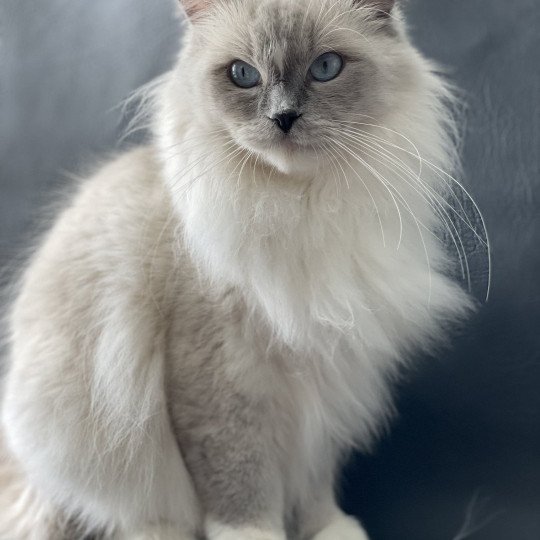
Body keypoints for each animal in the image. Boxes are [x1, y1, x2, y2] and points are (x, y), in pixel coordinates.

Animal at [0, 0, 484, 536]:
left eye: (326, 68)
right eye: (243, 75)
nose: (284, 117)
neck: (301, 210)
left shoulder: (326, 378)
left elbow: (315, 486)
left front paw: (330, 530)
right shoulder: (223, 382)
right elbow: (242, 488)